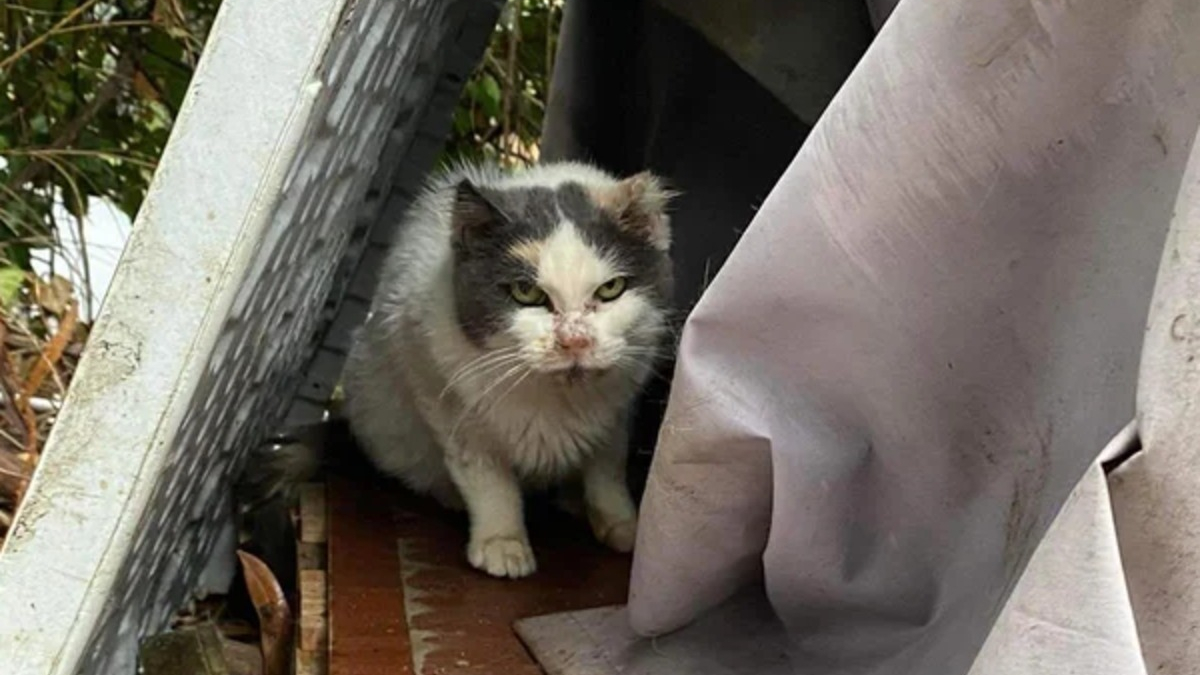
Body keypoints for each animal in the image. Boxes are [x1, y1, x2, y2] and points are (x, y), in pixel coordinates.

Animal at [343, 159, 676, 576]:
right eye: (526, 292)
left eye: (611, 288)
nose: (574, 340)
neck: (555, 400)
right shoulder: (446, 402)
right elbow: (489, 482)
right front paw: (502, 542)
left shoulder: (617, 416)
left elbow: (607, 470)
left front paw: (623, 526)